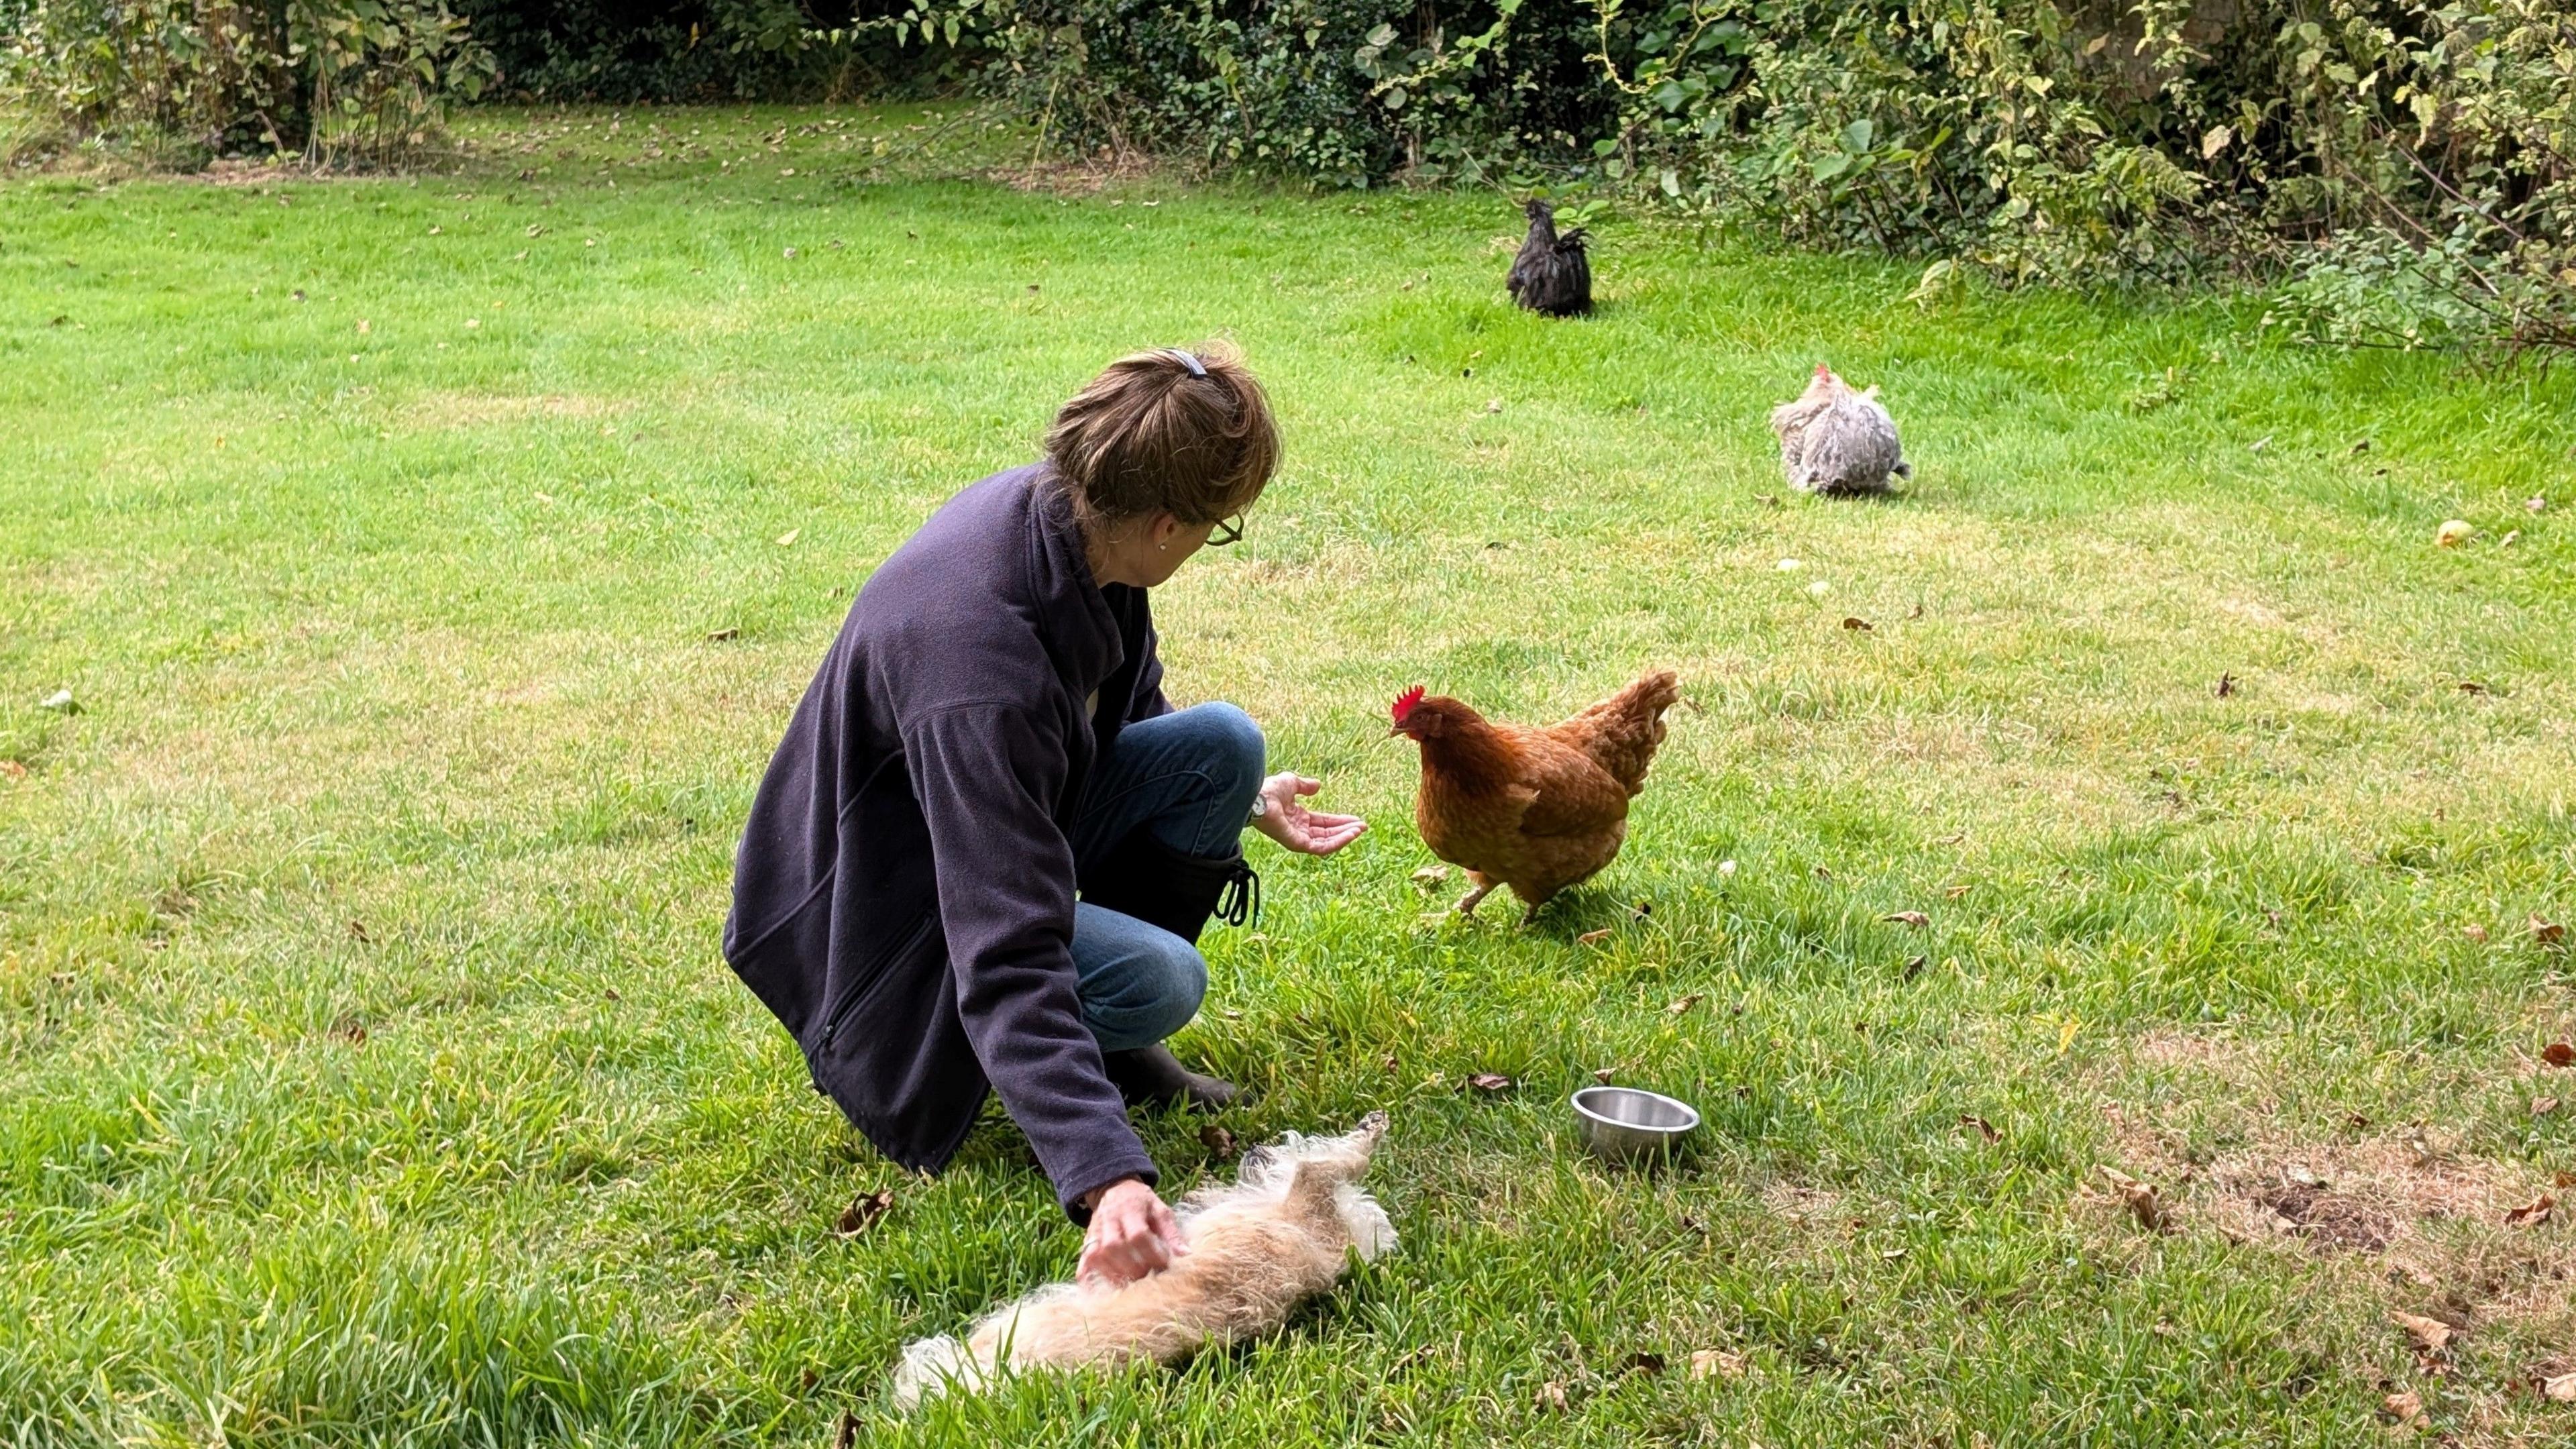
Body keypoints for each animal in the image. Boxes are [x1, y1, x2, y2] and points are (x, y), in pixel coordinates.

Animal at [896, 1103, 1401, 1402]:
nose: (1253, 1147)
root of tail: (974, 1377)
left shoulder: (1306, 1204)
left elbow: (1328, 1165)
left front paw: (1365, 1135)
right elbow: (1326, 1163)